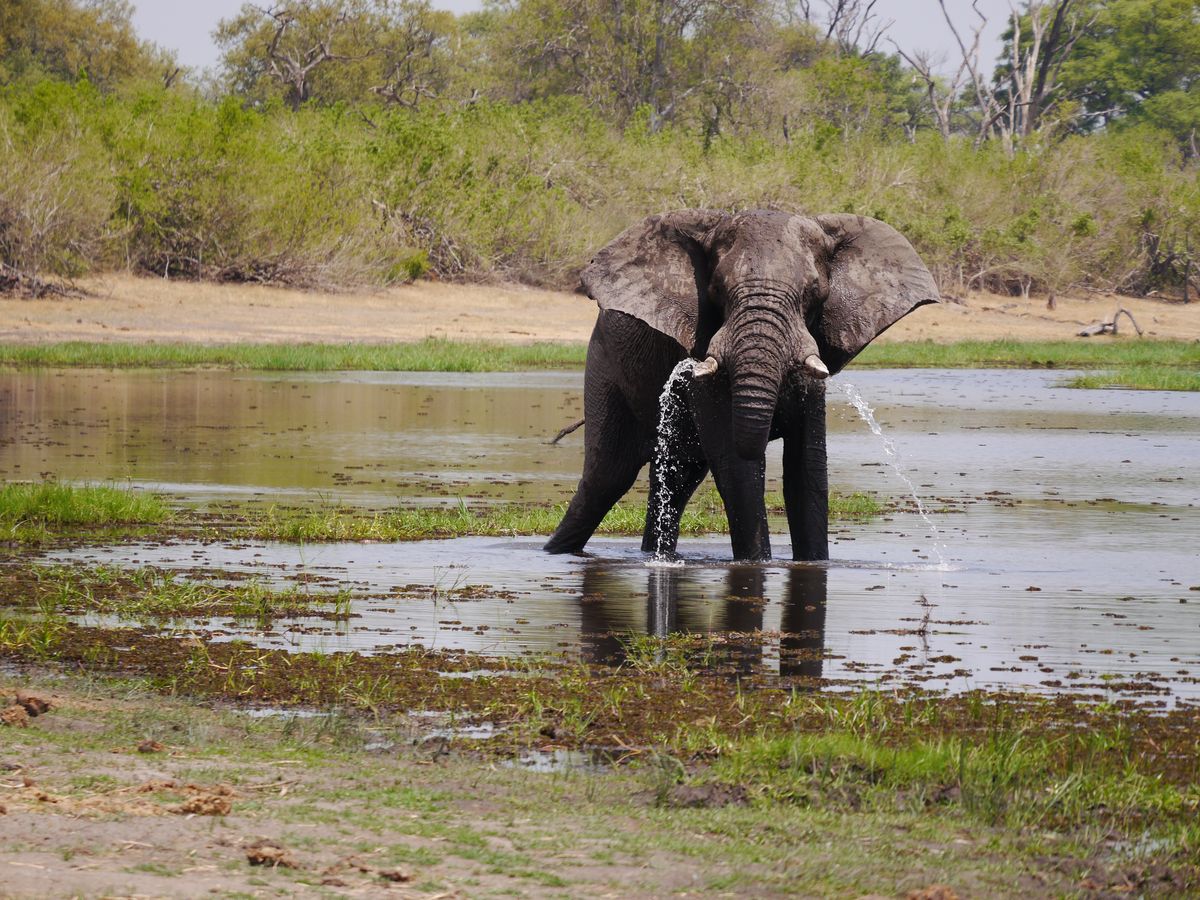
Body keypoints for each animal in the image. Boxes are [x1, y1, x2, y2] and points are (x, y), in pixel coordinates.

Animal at [544, 209, 938, 561]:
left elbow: (808, 467)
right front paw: (757, 564)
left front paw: (813, 563)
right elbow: (736, 465)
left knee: (677, 474)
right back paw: (558, 552)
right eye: (717, 289)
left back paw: (656, 556)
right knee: (608, 475)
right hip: (605, 362)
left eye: (814, 292)